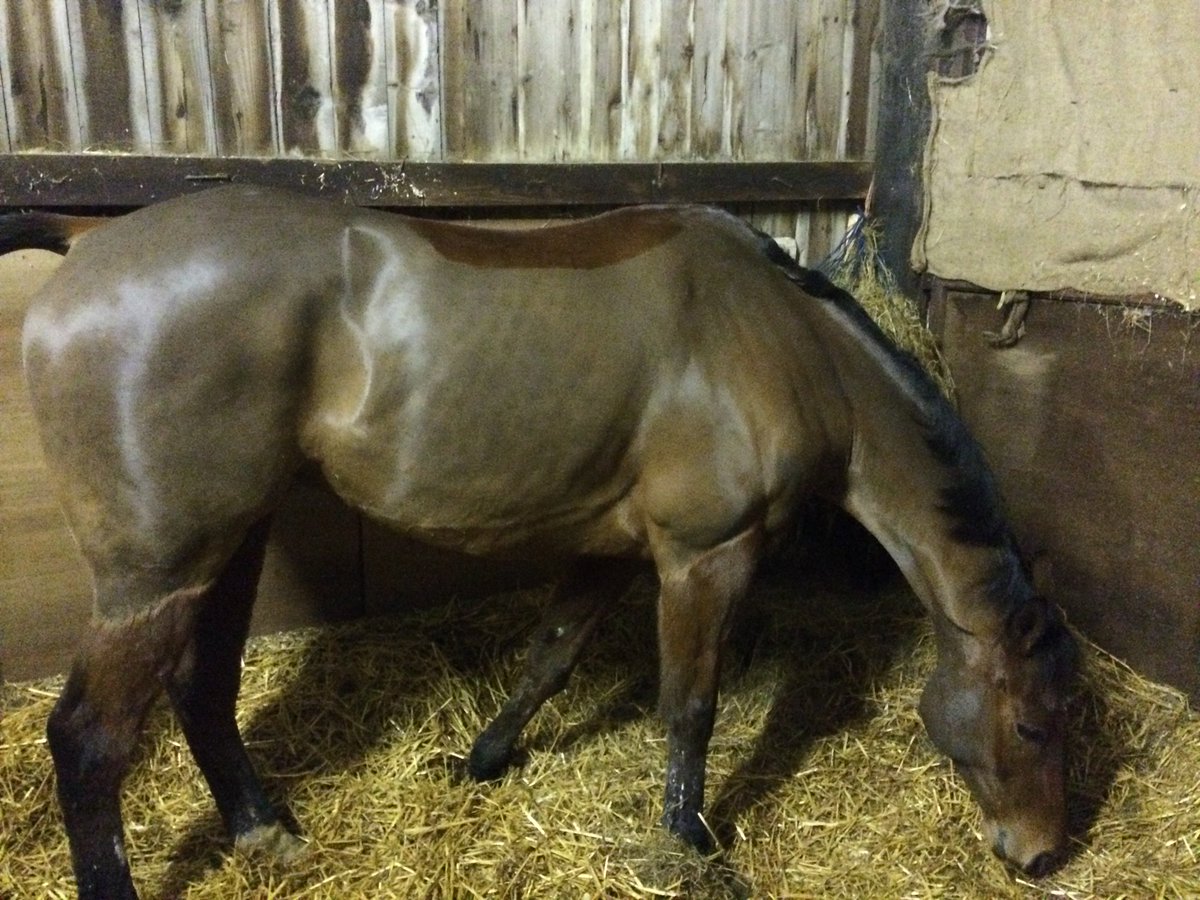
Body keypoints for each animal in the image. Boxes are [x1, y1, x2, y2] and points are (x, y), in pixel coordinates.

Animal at [2, 186, 1076, 899]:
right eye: (1031, 724)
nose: (1040, 852)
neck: (777, 340)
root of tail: (93, 237)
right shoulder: (706, 557)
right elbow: (690, 709)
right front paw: (689, 841)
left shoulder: (610, 549)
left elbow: (548, 659)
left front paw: (482, 760)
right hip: (156, 574)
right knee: (90, 743)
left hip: (228, 544)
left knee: (203, 688)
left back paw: (266, 832)